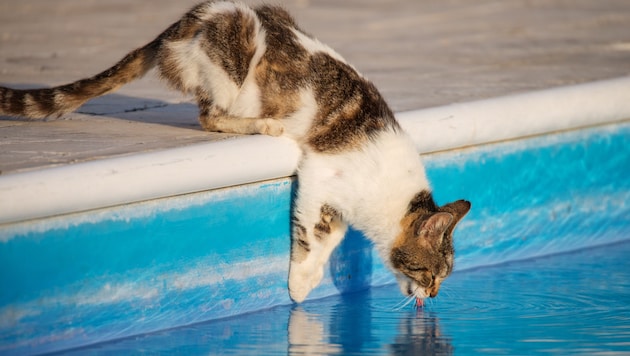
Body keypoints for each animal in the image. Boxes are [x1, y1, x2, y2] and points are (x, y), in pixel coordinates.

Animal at [0, 1, 470, 304]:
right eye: (431, 273)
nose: (433, 294)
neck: (396, 198)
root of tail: (180, 23)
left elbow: (331, 235)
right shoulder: (322, 178)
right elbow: (315, 233)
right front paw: (299, 287)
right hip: (237, 53)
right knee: (209, 115)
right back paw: (262, 123)